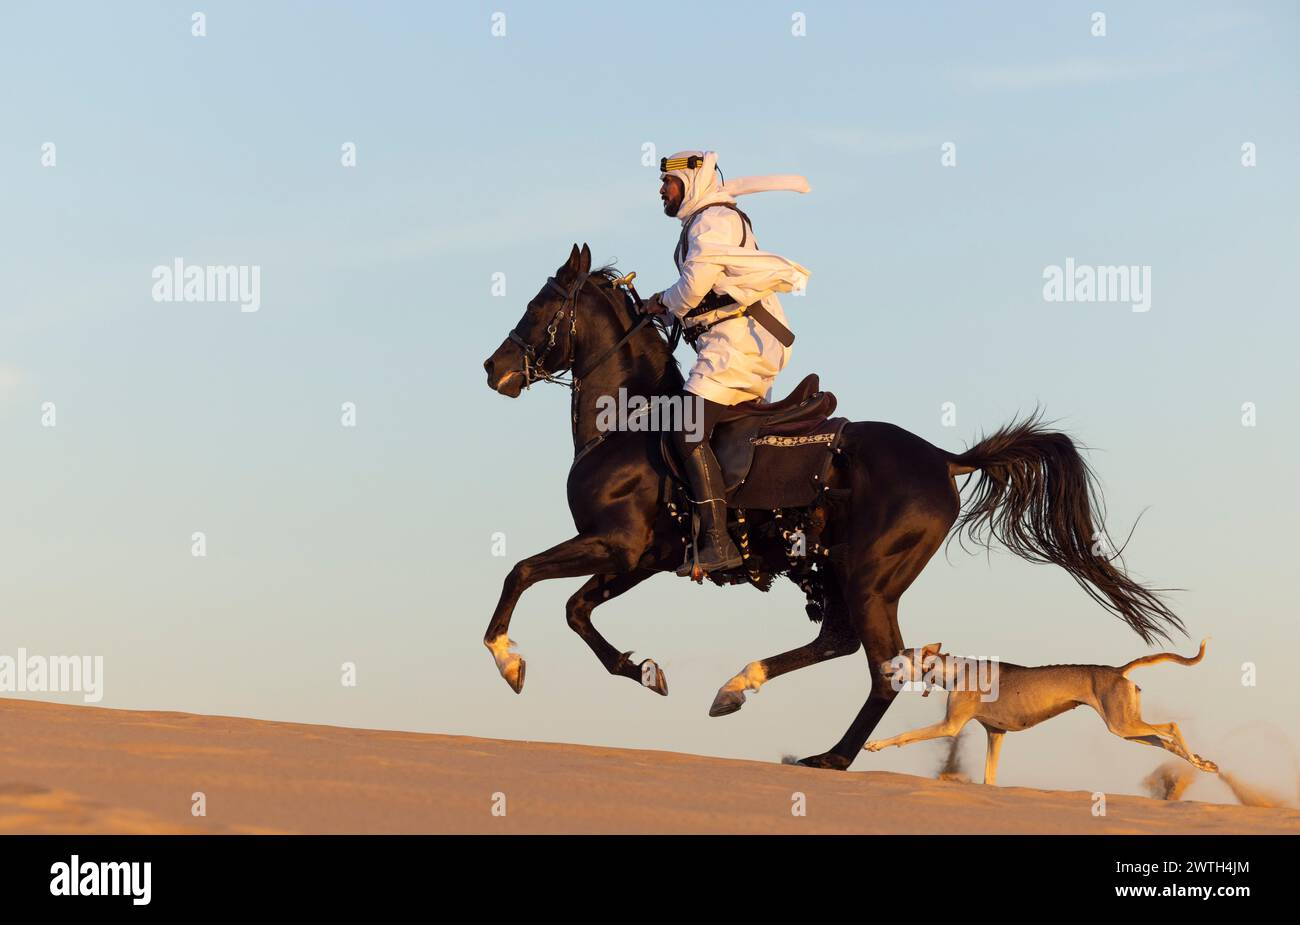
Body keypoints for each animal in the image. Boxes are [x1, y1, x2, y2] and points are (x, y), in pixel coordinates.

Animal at [483, 241, 1185, 769]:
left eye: (540, 305)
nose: (494, 369)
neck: (628, 423)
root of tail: (942, 459)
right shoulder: (639, 558)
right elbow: (576, 611)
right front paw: (644, 671)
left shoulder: (615, 544)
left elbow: (521, 572)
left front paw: (507, 658)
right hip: (839, 570)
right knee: (838, 640)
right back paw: (737, 687)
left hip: (869, 576)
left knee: (881, 667)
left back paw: (834, 756)